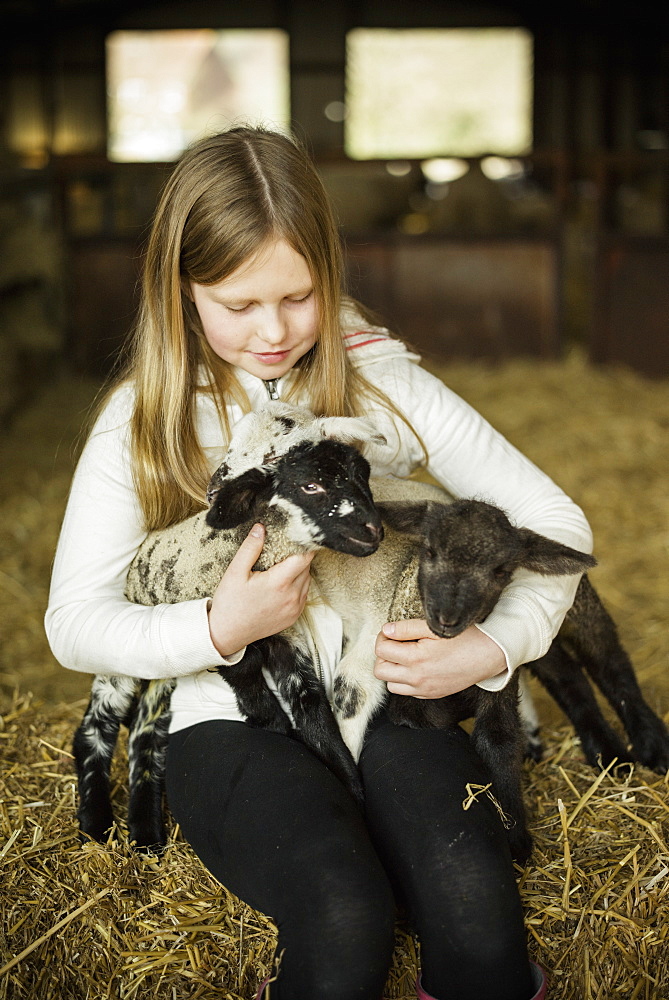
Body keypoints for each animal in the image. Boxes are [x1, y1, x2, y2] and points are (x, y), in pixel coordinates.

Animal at [71, 406, 386, 852]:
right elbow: (248, 672)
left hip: (162, 677)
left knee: (145, 734)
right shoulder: (228, 626)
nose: (374, 530)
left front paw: (352, 789)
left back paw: (147, 835)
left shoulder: (289, 641)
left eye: (365, 476)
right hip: (121, 662)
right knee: (95, 725)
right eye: (310, 485)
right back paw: (96, 824)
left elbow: (315, 712)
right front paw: (270, 724)